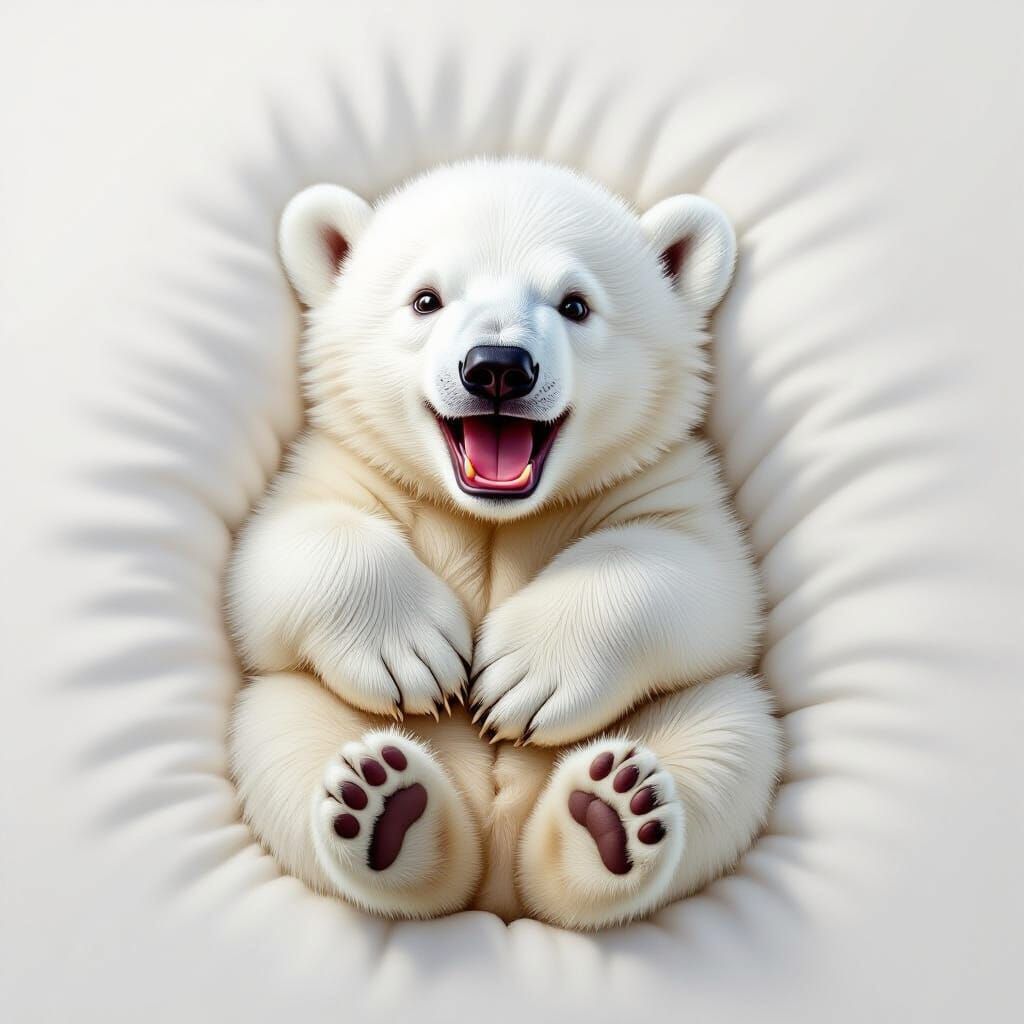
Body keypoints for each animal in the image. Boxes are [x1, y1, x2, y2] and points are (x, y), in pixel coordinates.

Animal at [226, 158, 782, 929]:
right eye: (426, 299)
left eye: (575, 304)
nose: (497, 366)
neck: (493, 513)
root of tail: (498, 891)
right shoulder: (348, 465)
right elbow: (278, 549)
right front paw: (415, 653)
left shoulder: (659, 478)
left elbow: (701, 572)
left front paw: (523, 677)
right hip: (290, 715)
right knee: (284, 741)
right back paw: (385, 809)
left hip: (714, 716)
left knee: (726, 744)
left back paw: (611, 817)